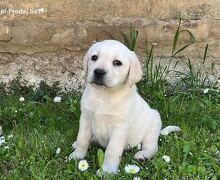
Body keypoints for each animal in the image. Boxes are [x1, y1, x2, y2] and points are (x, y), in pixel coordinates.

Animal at [69, 40, 162, 174]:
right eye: (94, 57)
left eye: (117, 63)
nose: (98, 72)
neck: (103, 95)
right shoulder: (86, 118)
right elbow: (82, 138)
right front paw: (77, 156)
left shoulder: (119, 128)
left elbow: (112, 150)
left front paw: (107, 171)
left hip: (153, 128)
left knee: (152, 147)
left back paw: (142, 155)